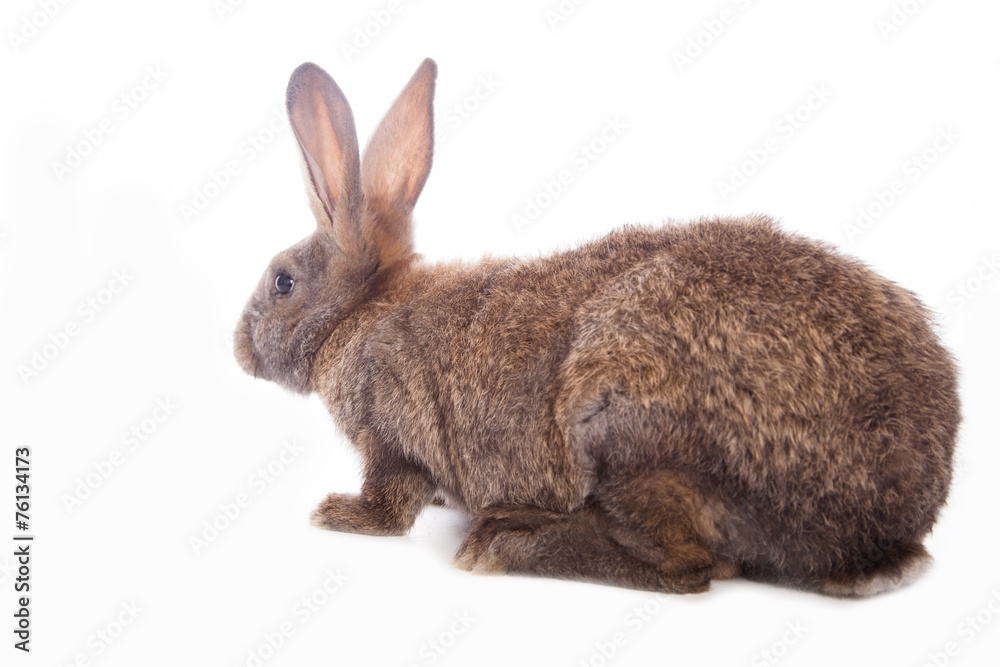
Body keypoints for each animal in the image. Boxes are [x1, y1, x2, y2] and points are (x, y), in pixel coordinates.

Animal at [234, 58, 960, 596]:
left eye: (282, 282)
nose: (239, 351)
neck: (361, 313)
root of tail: (883, 530)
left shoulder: (392, 435)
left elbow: (390, 499)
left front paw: (339, 514)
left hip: (626, 424)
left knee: (691, 567)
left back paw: (508, 543)